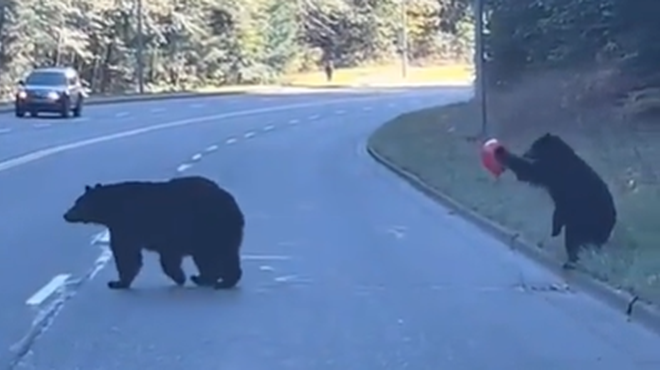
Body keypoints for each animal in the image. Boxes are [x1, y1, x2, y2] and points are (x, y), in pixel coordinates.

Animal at [63, 175, 245, 290]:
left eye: (77, 202)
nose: (66, 214)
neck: (112, 209)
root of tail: (234, 205)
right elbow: (167, 256)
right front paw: (180, 276)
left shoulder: (127, 224)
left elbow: (126, 253)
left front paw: (117, 282)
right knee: (212, 257)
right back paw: (206, 278)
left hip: (209, 227)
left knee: (220, 255)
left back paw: (222, 282)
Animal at [496, 133, 620, 268]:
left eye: (533, 146)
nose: (525, 153)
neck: (556, 154)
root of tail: (612, 220)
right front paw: (555, 230)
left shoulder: (552, 170)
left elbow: (529, 171)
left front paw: (502, 153)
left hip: (586, 221)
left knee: (573, 239)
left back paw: (571, 261)